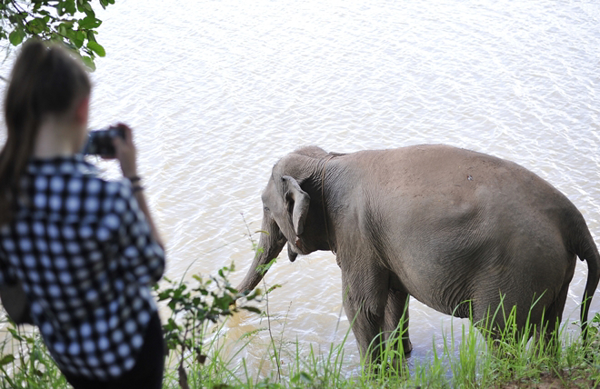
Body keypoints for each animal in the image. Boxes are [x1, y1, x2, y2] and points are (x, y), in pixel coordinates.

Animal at [236, 144, 600, 362]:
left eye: (266, 209)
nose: (235, 308)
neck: (328, 160)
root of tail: (573, 219)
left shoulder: (355, 233)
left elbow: (361, 306)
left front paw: (375, 374)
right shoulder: (378, 242)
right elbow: (394, 298)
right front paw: (401, 358)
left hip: (517, 270)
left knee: (499, 334)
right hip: (553, 270)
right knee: (548, 330)